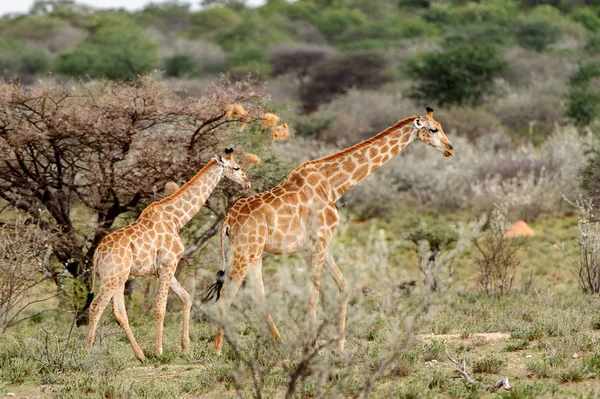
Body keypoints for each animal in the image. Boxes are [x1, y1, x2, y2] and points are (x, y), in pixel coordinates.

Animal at [86, 149, 251, 362]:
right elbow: (160, 308)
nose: (247, 182)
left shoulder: (163, 268)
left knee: (119, 312)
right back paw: (87, 352)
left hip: (118, 278)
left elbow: (186, 298)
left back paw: (140, 355)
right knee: (96, 306)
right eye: (236, 167)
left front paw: (186, 346)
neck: (176, 218)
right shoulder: (168, 264)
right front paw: (159, 350)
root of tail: (97, 253)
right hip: (111, 278)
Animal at [211, 108, 454, 354]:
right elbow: (313, 293)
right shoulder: (320, 241)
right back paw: (218, 351)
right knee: (226, 297)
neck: (333, 185)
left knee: (257, 295)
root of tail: (227, 222)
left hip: (250, 253)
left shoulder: (320, 245)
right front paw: (313, 345)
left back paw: (278, 342)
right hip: (244, 253)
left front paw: (340, 345)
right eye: (434, 129)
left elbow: (344, 286)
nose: (450, 148)